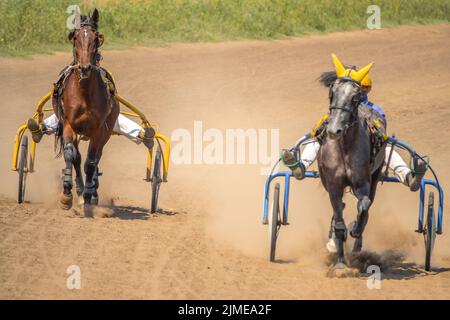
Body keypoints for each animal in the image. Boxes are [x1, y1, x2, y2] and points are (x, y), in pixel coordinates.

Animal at [55, 8, 119, 209]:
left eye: (96, 38)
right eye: (75, 37)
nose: (85, 68)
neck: (84, 92)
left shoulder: (99, 130)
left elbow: (91, 163)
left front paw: (89, 195)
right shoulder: (68, 124)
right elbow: (71, 154)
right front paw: (67, 194)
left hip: (106, 132)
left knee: (96, 158)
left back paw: (91, 190)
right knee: (77, 158)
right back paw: (79, 190)